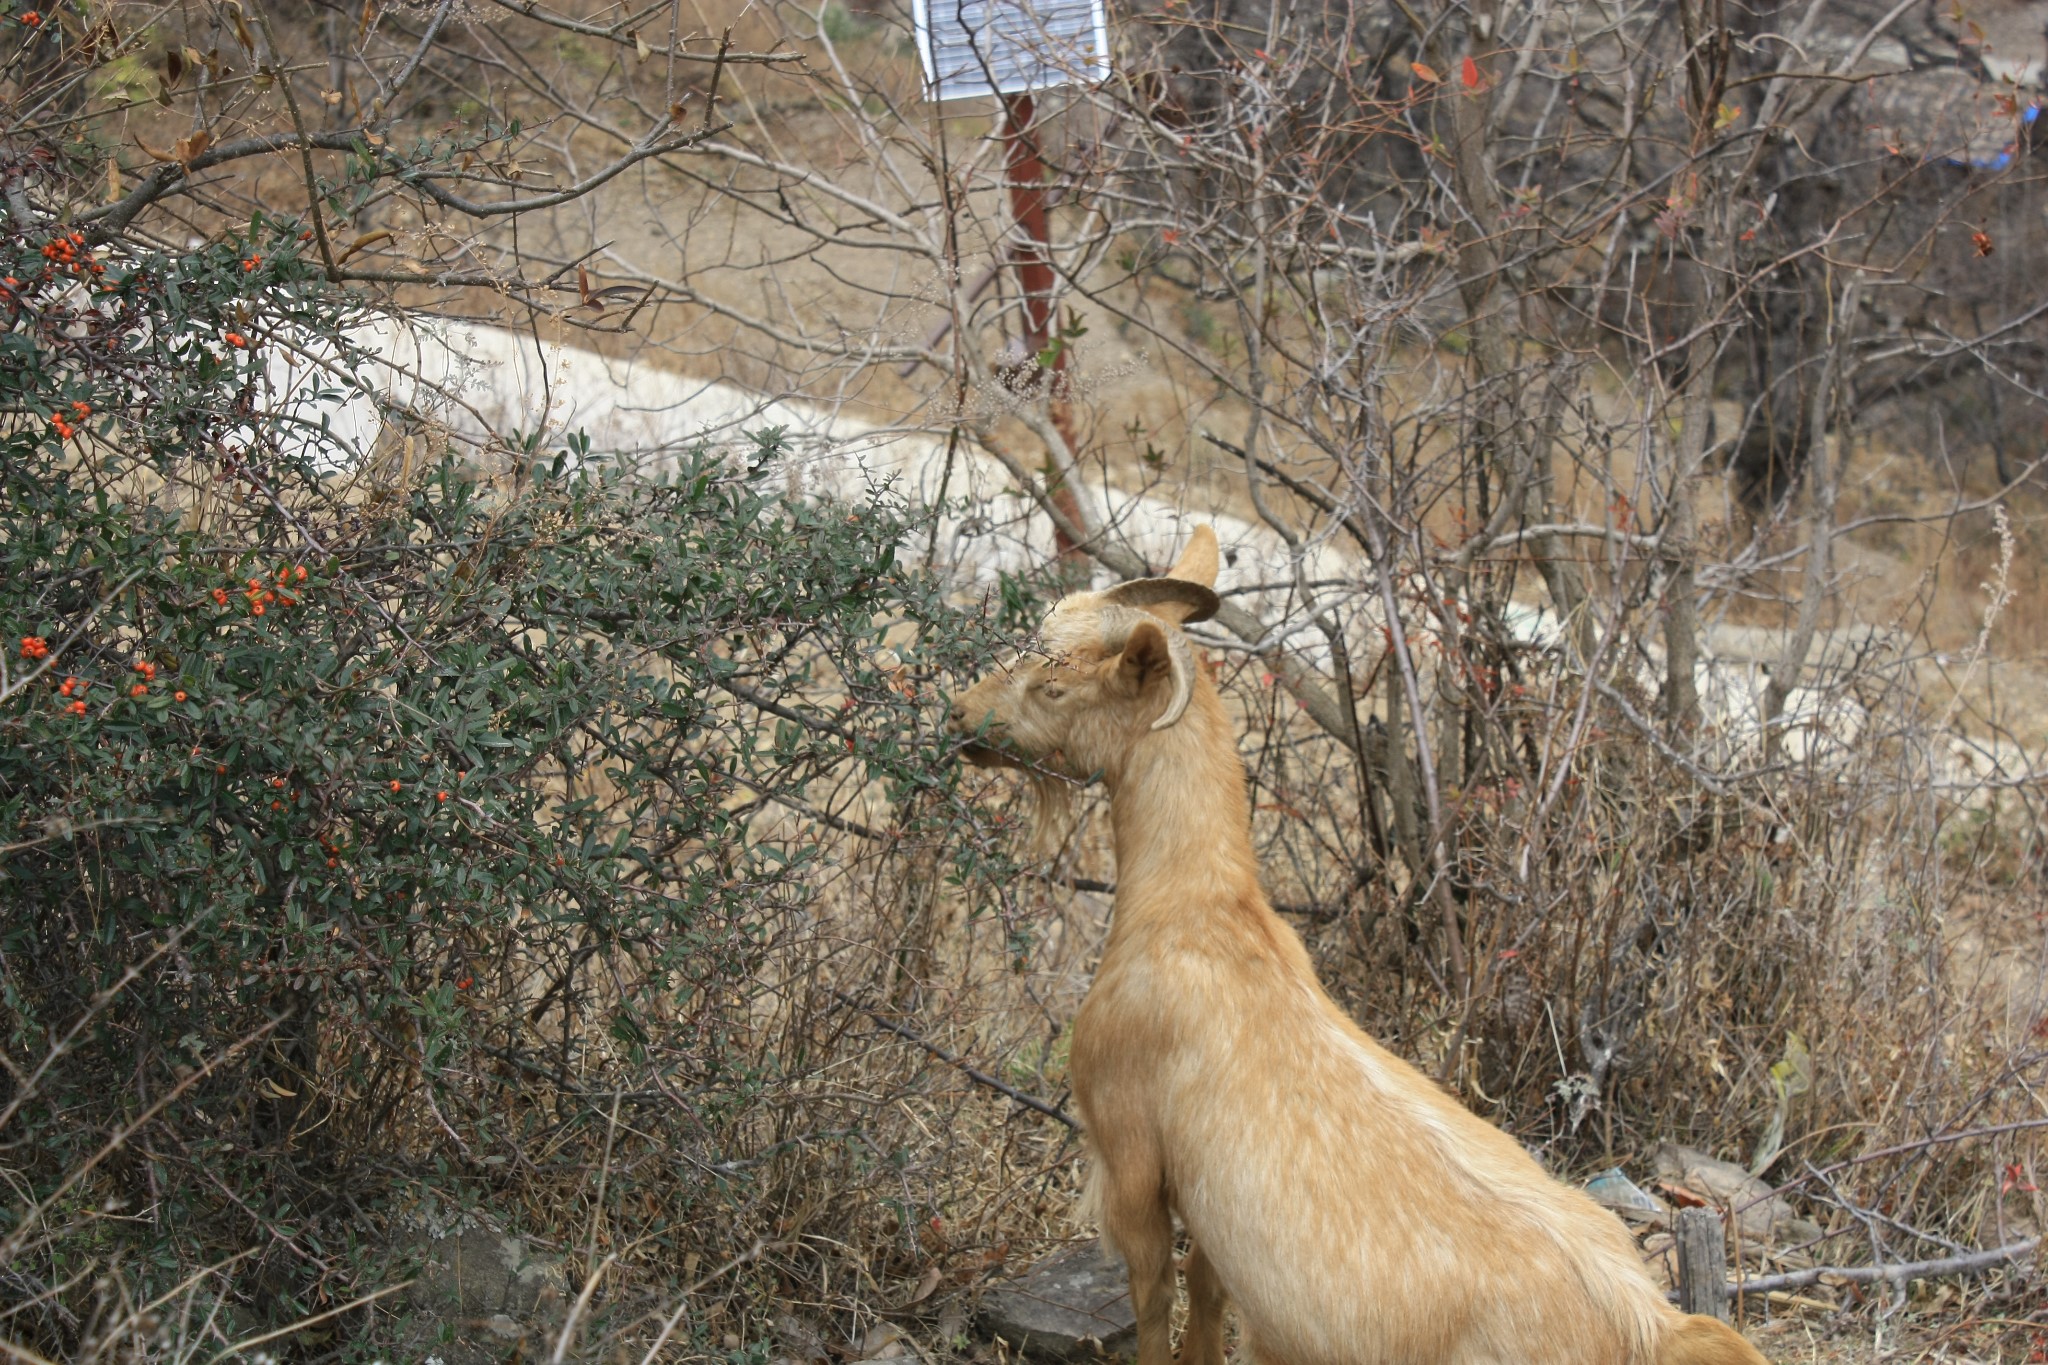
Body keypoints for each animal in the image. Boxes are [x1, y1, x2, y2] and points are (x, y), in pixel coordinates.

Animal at [950, 527, 1769, 1365]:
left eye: (1056, 685)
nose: (959, 714)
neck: (1195, 907)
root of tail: (1652, 1326)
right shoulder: (1214, 1216)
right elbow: (1207, 1294)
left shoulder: (1129, 1153)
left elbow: (1153, 1299)